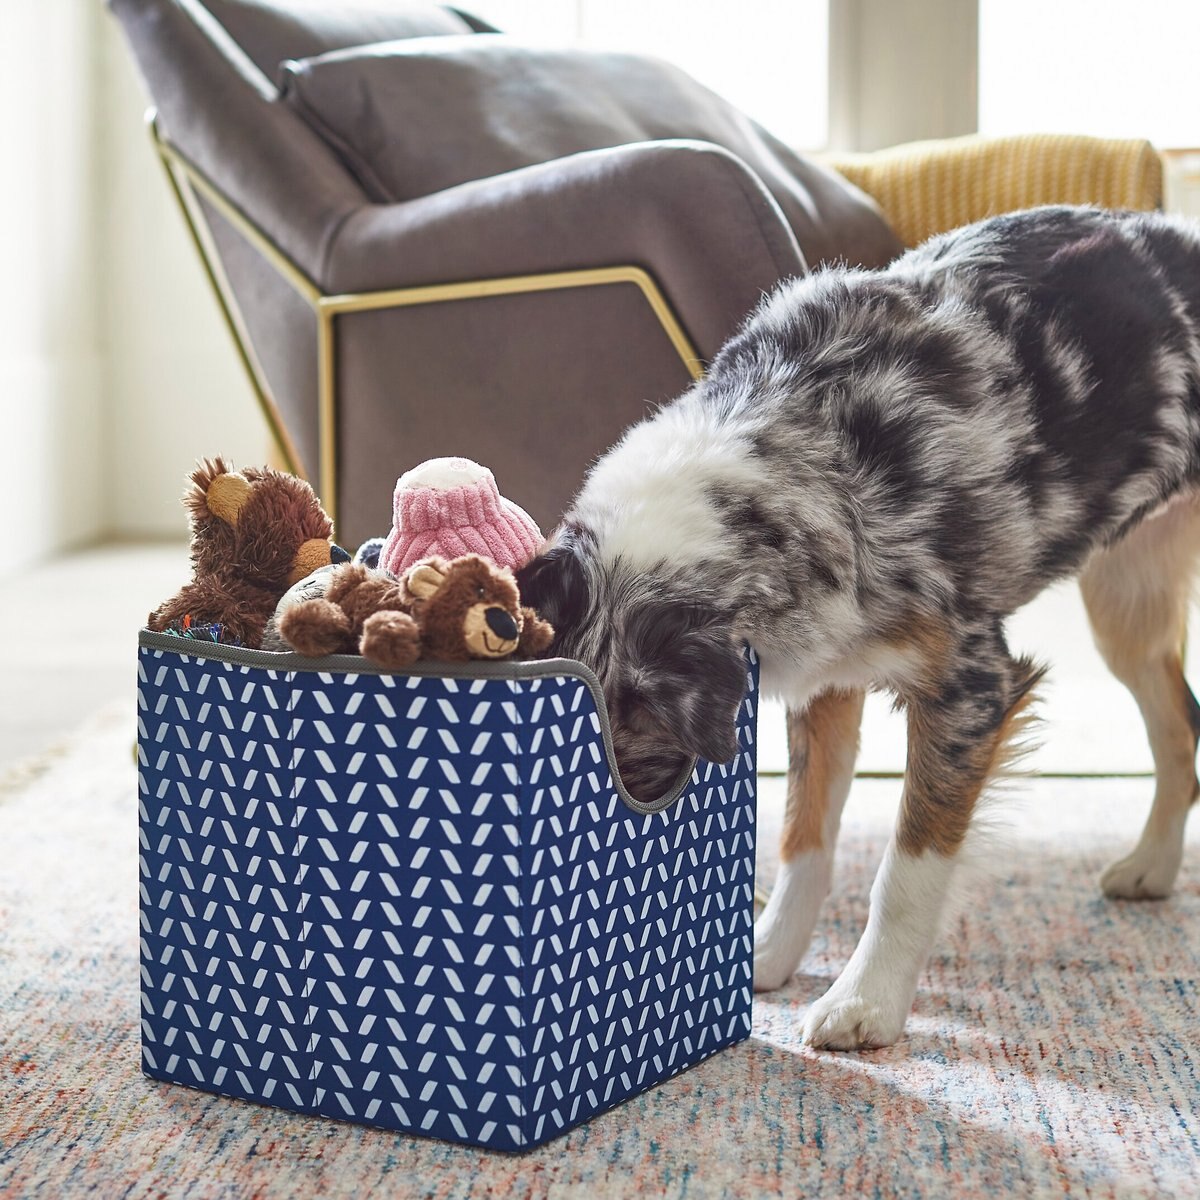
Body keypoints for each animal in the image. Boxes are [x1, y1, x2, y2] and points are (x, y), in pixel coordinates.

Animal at [518, 206, 1200, 1051]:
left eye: (646, 782)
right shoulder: (824, 674)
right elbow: (803, 836)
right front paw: (769, 955)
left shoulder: (971, 687)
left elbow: (906, 868)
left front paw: (867, 1001)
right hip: (1125, 607)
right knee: (1178, 730)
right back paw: (1153, 866)